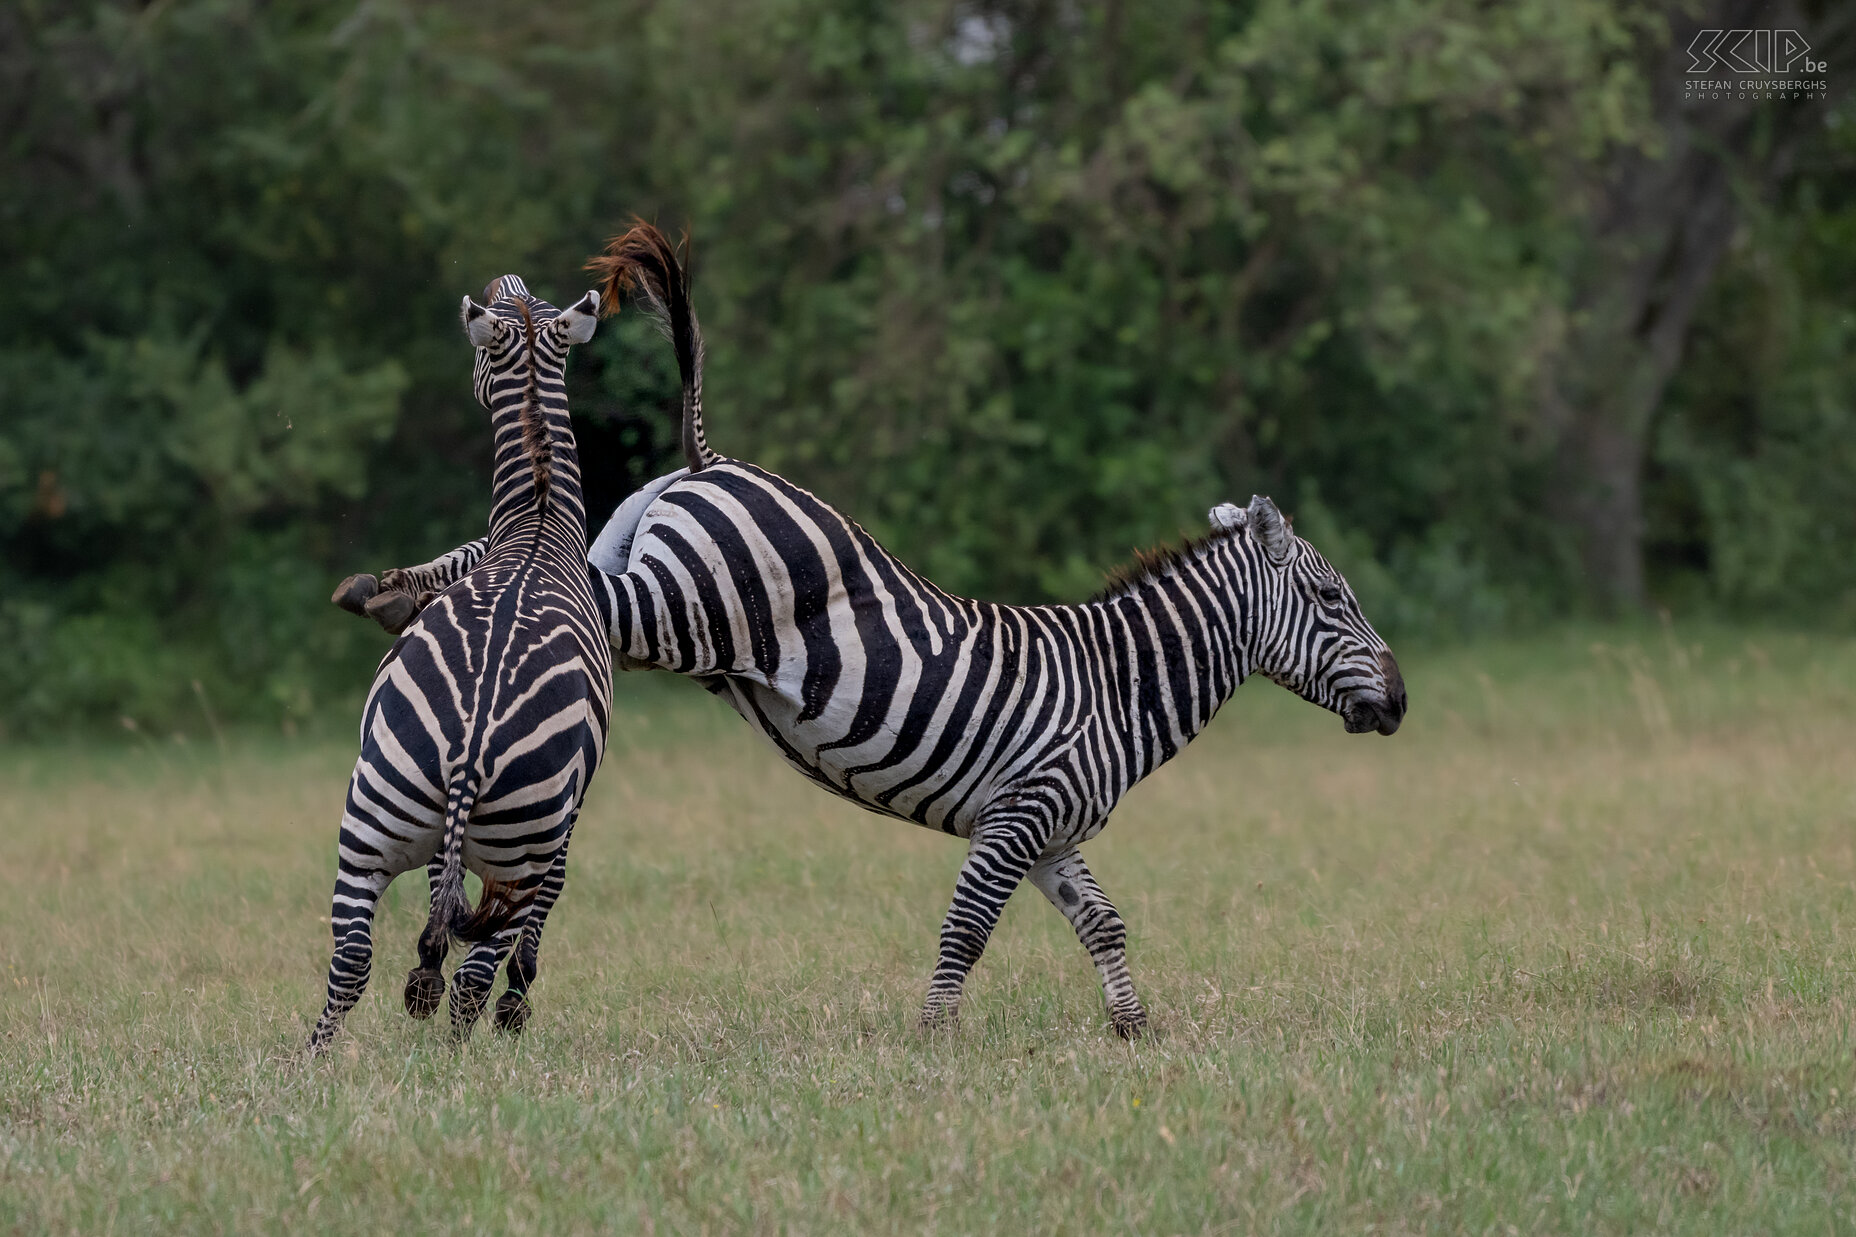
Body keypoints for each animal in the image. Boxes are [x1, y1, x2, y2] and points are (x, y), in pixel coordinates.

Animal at [306, 273, 608, 1047]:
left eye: (527, 299)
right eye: (506, 303)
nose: (504, 280)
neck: (538, 526)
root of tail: (471, 745)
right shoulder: (567, 818)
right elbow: (543, 907)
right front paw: (516, 998)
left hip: (370, 820)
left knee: (352, 958)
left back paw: (312, 1060)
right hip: (517, 850)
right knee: (475, 972)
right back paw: (457, 1048)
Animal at [337, 221, 1403, 1032]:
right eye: (1334, 600)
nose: (1398, 701)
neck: (1117, 682)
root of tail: (712, 458)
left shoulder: (1053, 831)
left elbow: (1104, 924)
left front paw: (1134, 1030)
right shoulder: (1018, 817)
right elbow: (965, 930)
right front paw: (932, 1040)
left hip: (636, 556)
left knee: (535, 553)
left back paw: (384, 590)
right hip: (683, 604)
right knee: (572, 590)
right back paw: (401, 597)